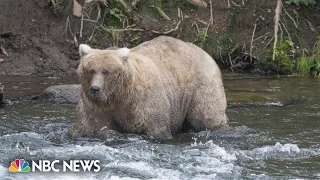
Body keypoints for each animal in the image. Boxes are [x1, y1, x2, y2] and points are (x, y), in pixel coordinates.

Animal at [74, 35, 229, 139]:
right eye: (91, 70)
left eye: (106, 71)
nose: (95, 89)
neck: (120, 96)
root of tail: (205, 52)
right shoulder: (97, 107)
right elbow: (90, 125)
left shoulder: (144, 102)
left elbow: (156, 127)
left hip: (200, 86)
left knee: (206, 116)